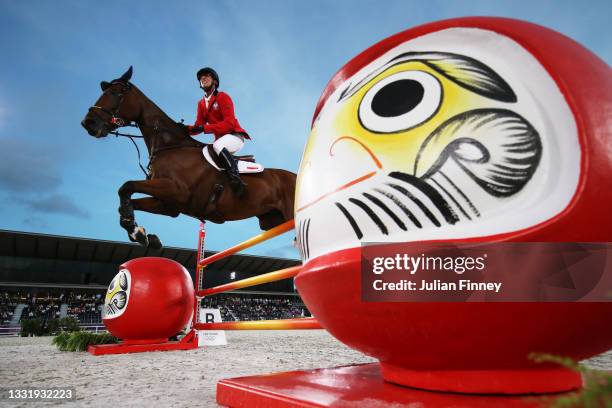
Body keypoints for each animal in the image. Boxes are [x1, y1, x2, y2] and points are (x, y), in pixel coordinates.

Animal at [80, 66, 296, 249]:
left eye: (116, 94)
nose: (88, 123)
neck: (169, 146)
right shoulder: (169, 204)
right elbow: (128, 200)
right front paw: (142, 234)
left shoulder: (176, 190)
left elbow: (126, 186)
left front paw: (137, 232)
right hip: (273, 220)